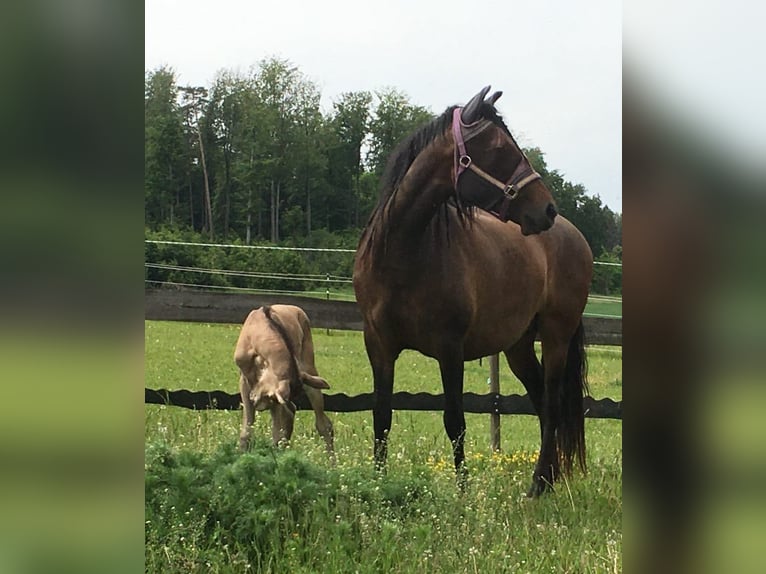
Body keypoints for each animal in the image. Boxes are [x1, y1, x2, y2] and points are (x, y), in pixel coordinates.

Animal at [354, 86, 592, 500]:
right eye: (498, 147)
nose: (546, 208)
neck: (402, 253)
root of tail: (573, 235)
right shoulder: (378, 344)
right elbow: (381, 415)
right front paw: (379, 484)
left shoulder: (450, 348)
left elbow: (455, 420)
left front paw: (463, 494)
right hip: (518, 346)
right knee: (542, 402)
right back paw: (546, 480)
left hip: (556, 335)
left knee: (553, 403)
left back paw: (537, 484)